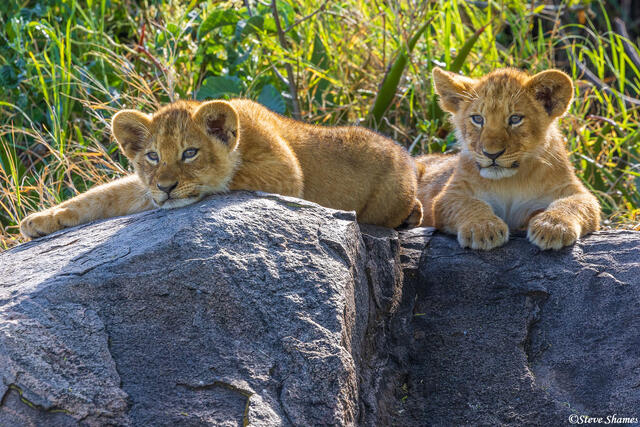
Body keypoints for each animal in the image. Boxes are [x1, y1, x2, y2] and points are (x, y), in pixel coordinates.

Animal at [20, 99, 423, 238]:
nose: (165, 187)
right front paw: (42, 220)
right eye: (152, 156)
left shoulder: (287, 173)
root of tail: (407, 158)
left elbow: (222, 179)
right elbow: (104, 195)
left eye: (190, 153)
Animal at [416, 67, 601, 250]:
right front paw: (483, 228)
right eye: (478, 119)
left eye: (515, 119)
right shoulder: (449, 195)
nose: (492, 154)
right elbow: (469, 204)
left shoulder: (578, 192)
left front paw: (553, 226)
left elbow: (572, 204)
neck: (509, 181)